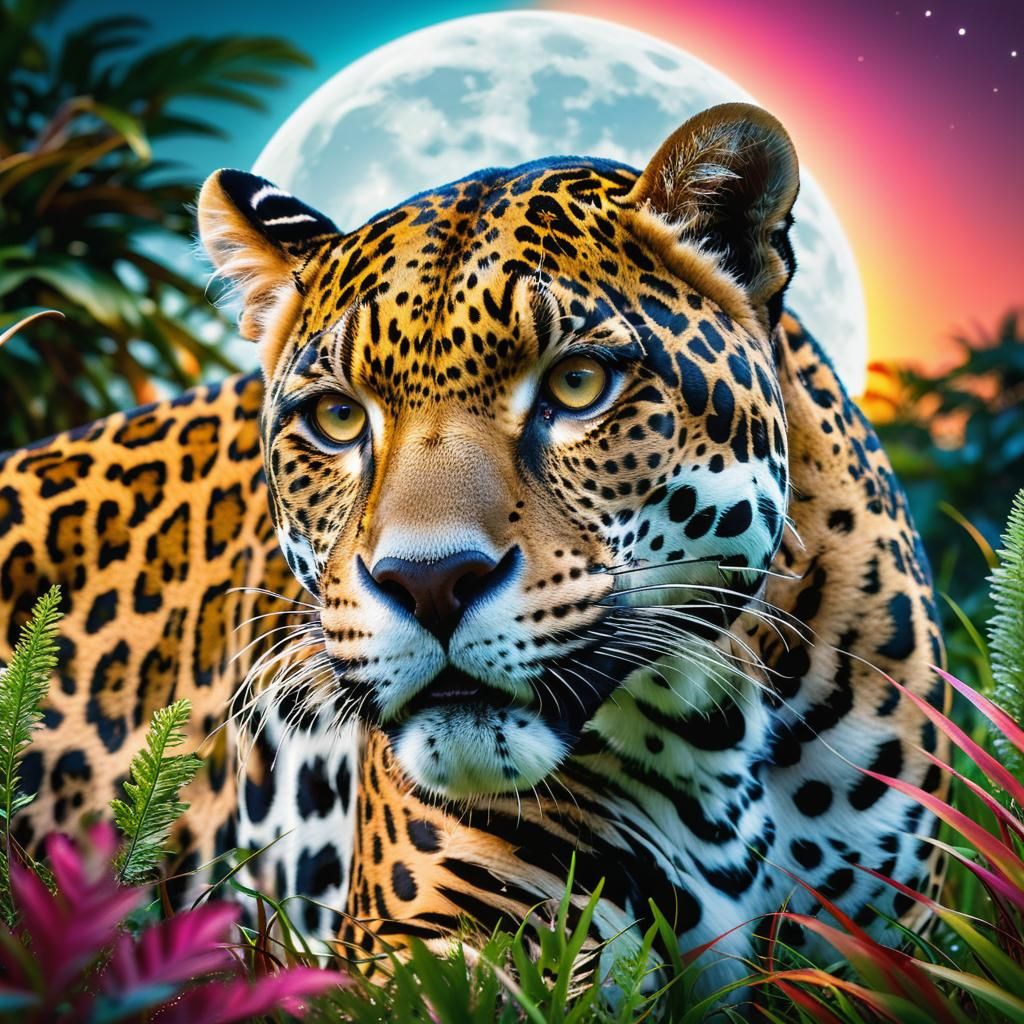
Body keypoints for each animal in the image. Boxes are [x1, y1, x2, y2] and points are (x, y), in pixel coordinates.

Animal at [0, 103, 946, 995]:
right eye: (337, 417)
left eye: (578, 383)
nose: (429, 584)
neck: (714, 728)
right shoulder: (422, 944)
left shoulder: (895, 942)